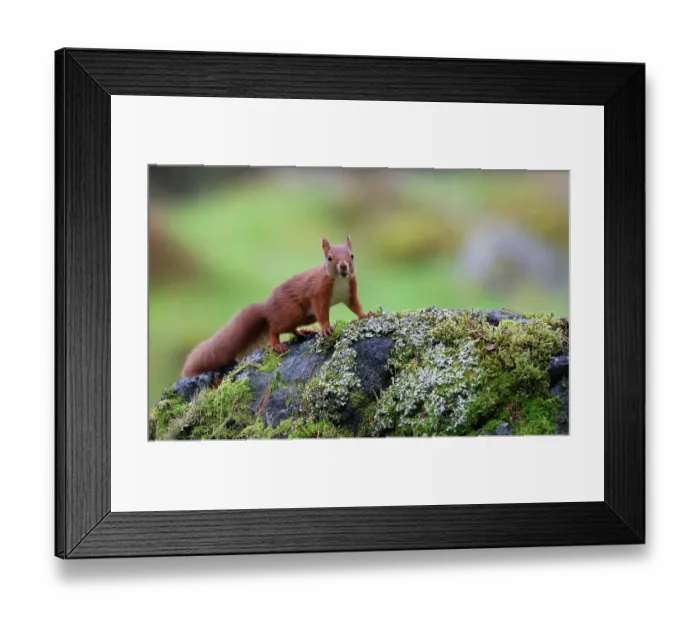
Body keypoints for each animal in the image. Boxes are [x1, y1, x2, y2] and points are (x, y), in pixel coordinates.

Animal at [181, 236, 375, 377]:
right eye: (329, 258)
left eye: (352, 255)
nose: (343, 266)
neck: (340, 281)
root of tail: (266, 307)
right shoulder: (318, 293)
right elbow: (322, 313)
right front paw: (327, 328)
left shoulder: (350, 293)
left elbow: (356, 306)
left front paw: (367, 314)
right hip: (292, 312)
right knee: (273, 328)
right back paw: (277, 344)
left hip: (304, 316)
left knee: (290, 328)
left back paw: (303, 332)